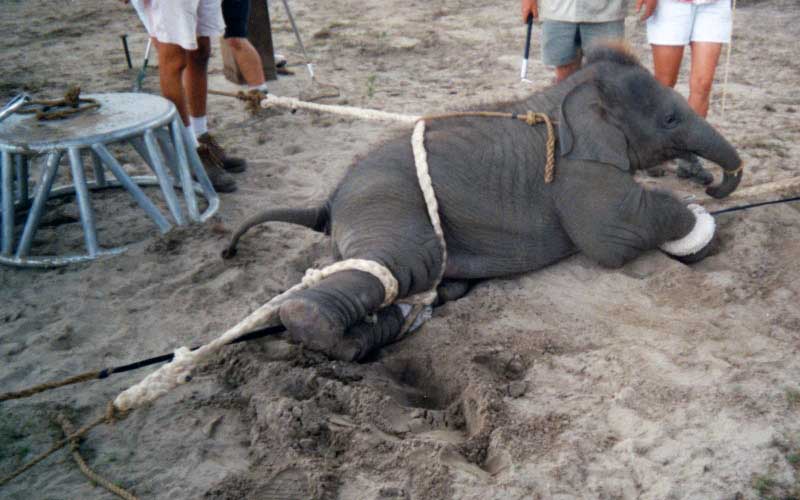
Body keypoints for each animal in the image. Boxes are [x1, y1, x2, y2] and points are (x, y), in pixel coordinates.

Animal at [223, 43, 742, 362]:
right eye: (670, 119)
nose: (715, 185)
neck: (567, 91)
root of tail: (328, 198)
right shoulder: (577, 170)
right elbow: (612, 238)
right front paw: (700, 230)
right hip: (388, 204)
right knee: (393, 264)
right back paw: (347, 340)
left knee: (423, 287)